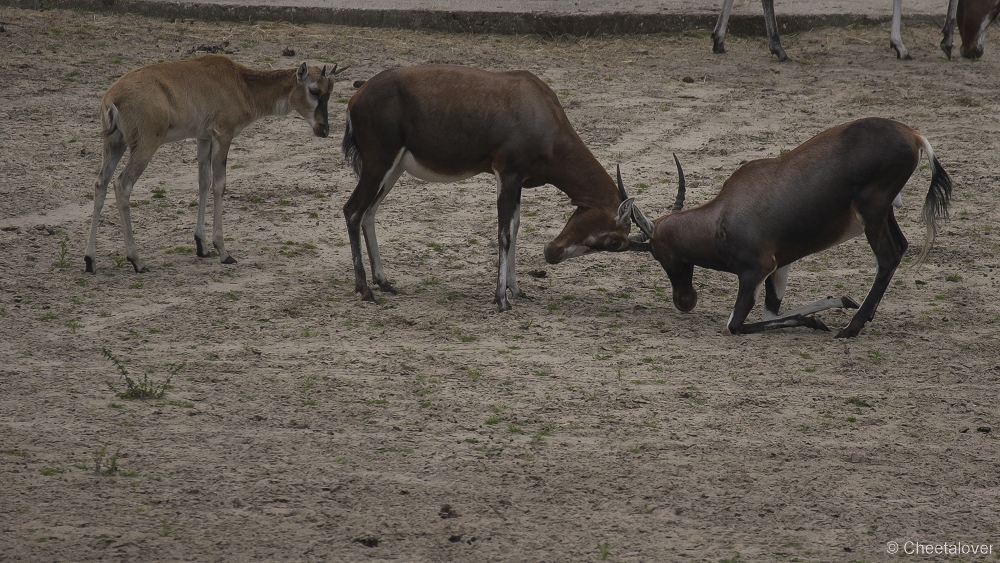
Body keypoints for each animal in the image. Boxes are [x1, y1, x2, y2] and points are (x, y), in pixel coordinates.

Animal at [87, 54, 352, 274]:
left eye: (330, 91)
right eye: (314, 90)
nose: (323, 129)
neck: (240, 83)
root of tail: (112, 98)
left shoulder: (203, 137)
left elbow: (203, 182)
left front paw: (201, 246)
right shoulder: (223, 135)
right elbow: (219, 185)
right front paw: (224, 252)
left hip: (115, 146)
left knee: (101, 183)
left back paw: (90, 261)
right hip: (144, 146)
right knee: (122, 185)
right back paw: (137, 261)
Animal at [344, 66, 636, 316]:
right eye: (614, 241)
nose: (552, 254)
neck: (536, 104)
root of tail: (360, 92)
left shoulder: (518, 181)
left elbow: (515, 227)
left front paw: (517, 290)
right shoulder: (507, 174)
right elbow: (504, 233)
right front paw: (501, 300)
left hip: (394, 169)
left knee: (369, 212)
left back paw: (384, 282)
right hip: (379, 163)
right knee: (352, 210)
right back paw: (366, 291)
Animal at [624, 118, 952, 338]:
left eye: (657, 253)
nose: (684, 301)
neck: (720, 217)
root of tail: (915, 136)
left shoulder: (755, 272)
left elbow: (734, 324)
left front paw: (818, 320)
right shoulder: (779, 267)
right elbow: (773, 311)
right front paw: (838, 302)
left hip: (872, 213)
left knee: (887, 257)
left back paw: (850, 329)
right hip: (884, 213)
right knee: (901, 246)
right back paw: (864, 315)